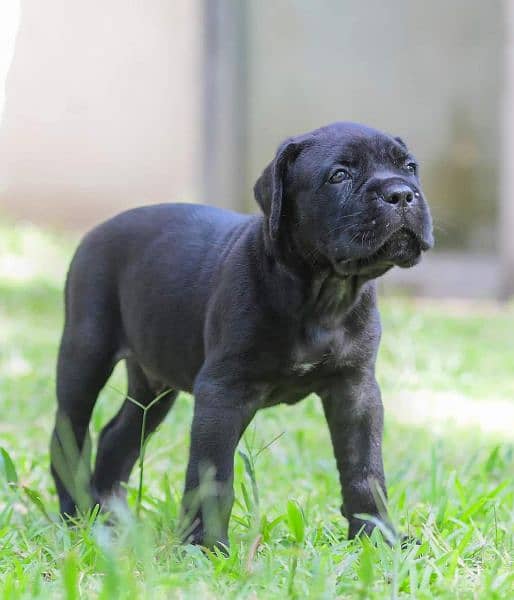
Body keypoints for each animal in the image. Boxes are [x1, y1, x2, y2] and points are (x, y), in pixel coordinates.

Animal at [49, 122, 432, 548]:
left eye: (410, 167)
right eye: (339, 175)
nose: (401, 193)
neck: (323, 292)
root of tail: (96, 230)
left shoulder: (356, 390)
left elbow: (364, 469)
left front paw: (377, 538)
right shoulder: (224, 391)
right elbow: (213, 476)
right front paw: (205, 547)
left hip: (154, 382)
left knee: (118, 436)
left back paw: (112, 520)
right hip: (86, 353)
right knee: (69, 434)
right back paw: (76, 515)